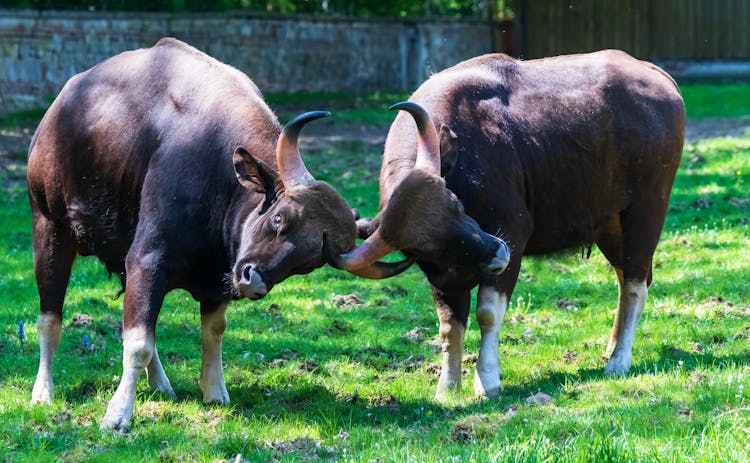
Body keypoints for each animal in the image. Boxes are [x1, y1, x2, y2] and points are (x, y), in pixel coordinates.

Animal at [324, 49, 688, 398]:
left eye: (456, 204)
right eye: (425, 249)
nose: (497, 253)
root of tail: (659, 77)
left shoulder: (513, 235)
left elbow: (487, 313)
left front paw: (486, 380)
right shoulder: (443, 275)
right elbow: (449, 325)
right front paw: (447, 386)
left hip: (646, 210)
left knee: (636, 283)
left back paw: (618, 360)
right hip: (609, 225)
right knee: (627, 278)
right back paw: (612, 347)